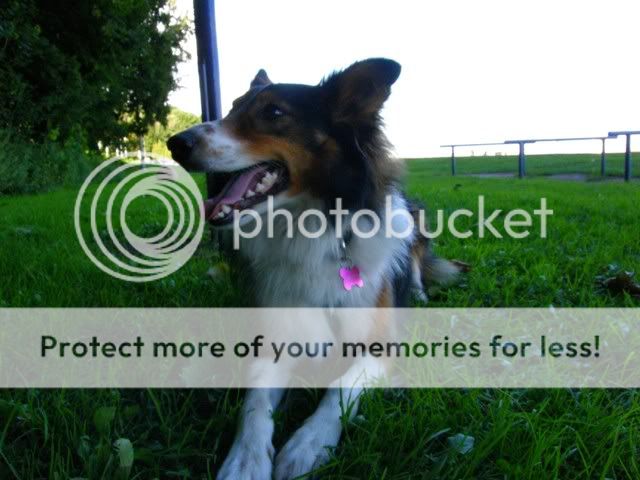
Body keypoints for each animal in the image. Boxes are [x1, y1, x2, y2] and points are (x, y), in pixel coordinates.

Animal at [168, 58, 461, 479]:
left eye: (274, 113)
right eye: (233, 107)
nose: (176, 143)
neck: (309, 228)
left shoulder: (380, 344)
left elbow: (340, 384)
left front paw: (307, 444)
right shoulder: (276, 334)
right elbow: (255, 399)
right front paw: (245, 460)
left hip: (414, 219)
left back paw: (420, 291)